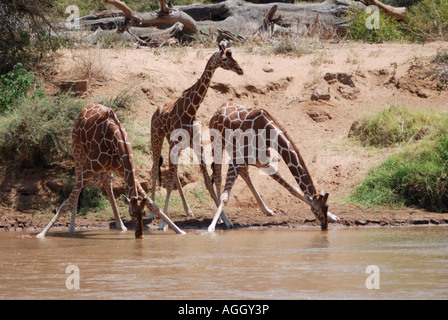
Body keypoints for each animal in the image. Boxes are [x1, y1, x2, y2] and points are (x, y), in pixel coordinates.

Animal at [36, 104, 185, 239]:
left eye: (142, 213)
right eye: (131, 214)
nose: (139, 235)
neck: (116, 140)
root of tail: (85, 108)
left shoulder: (123, 169)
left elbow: (153, 205)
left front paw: (180, 232)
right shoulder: (91, 167)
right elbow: (65, 203)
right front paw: (41, 234)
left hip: (107, 169)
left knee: (107, 184)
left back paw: (121, 226)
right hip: (78, 151)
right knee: (78, 187)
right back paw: (72, 228)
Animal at [150, 44, 242, 230]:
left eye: (232, 54)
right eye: (224, 58)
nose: (240, 69)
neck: (190, 111)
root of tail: (156, 110)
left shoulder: (196, 144)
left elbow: (207, 181)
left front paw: (226, 220)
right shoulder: (174, 143)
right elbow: (168, 184)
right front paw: (163, 224)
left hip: (175, 145)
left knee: (175, 174)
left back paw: (188, 210)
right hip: (156, 137)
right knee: (155, 169)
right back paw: (151, 213)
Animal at [206, 104, 340, 231]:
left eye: (326, 207)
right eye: (317, 210)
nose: (325, 226)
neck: (267, 131)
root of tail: (218, 110)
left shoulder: (259, 160)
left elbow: (293, 189)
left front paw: (333, 217)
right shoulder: (237, 160)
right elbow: (225, 197)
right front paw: (211, 228)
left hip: (250, 158)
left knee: (244, 174)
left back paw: (267, 210)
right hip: (217, 145)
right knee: (218, 178)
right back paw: (223, 220)